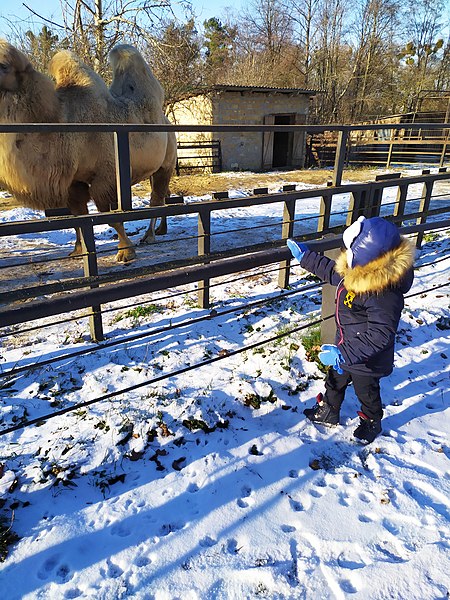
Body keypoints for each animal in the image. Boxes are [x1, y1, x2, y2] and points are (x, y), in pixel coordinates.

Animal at [0, 39, 177, 260]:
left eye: (3, 66)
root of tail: (167, 121)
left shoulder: (106, 177)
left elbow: (111, 217)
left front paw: (125, 252)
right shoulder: (74, 183)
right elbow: (79, 218)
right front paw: (78, 250)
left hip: (167, 163)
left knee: (156, 199)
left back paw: (149, 236)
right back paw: (159, 231)